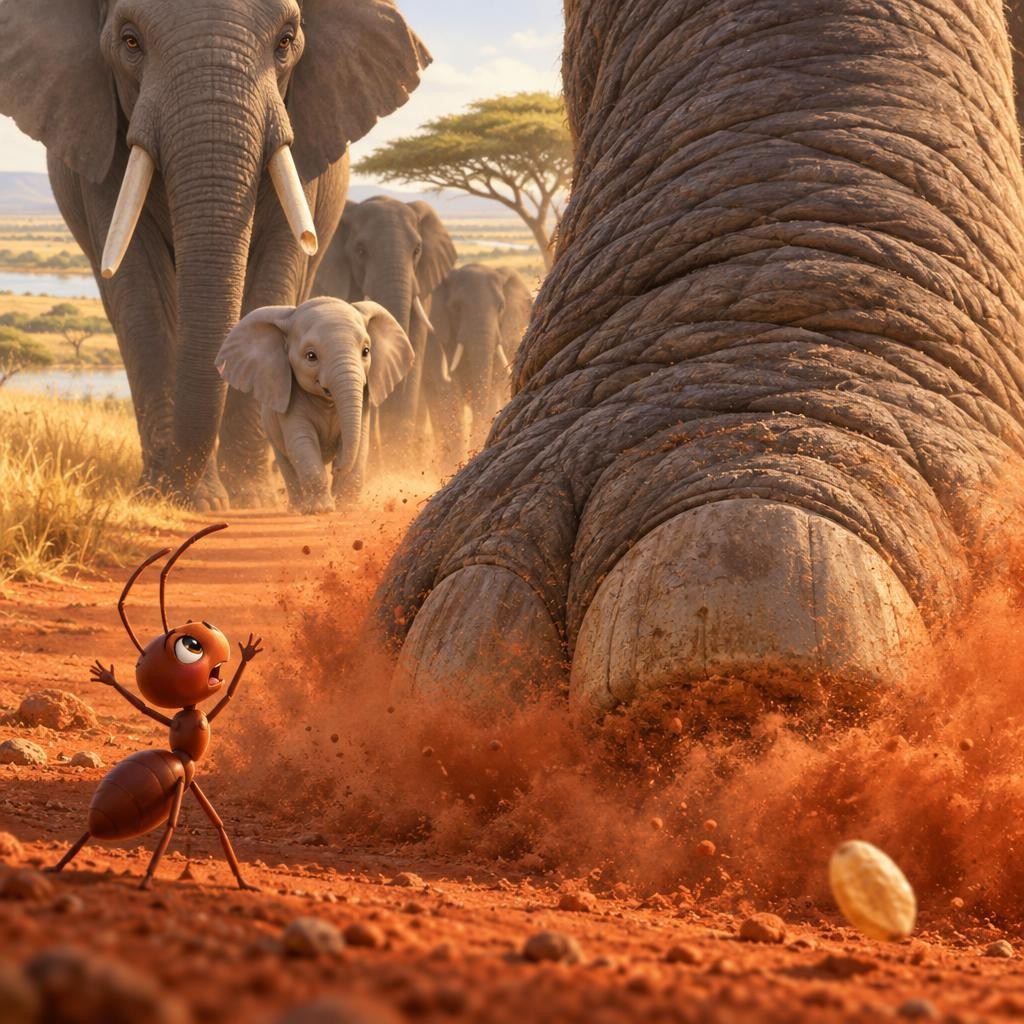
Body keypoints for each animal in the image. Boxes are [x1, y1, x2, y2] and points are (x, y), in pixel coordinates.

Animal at [216, 297, 413, 512]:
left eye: (366, 351)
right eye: (311, 356)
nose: (336, 467)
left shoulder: (364, 399)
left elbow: (360, 442)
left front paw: (349, 508)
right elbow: (302, 443)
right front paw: (321, 509)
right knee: (287, 464)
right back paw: (297, 509)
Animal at [424, 264, 533, 468]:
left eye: (501, 307)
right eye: (456, 308)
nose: (478, 449)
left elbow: (492, 385)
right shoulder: (438, 341)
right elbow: (449, 390)